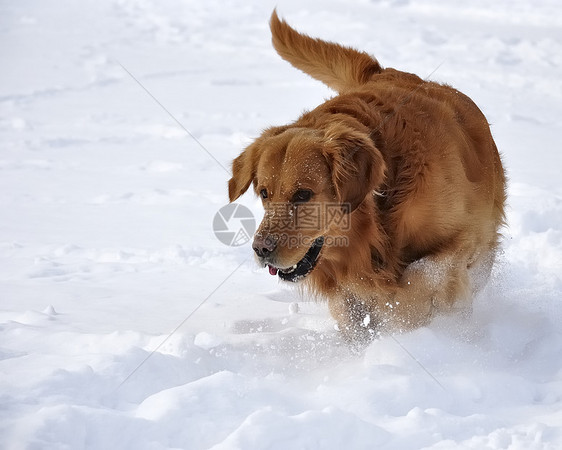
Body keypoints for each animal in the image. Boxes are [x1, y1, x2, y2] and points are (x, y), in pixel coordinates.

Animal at [225, 9, 506, 342]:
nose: (261, 249)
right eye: (265, 193)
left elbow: (420, 276)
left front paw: (406, 322)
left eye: (303, 194)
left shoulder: (466, 238)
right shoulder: (344, 284)